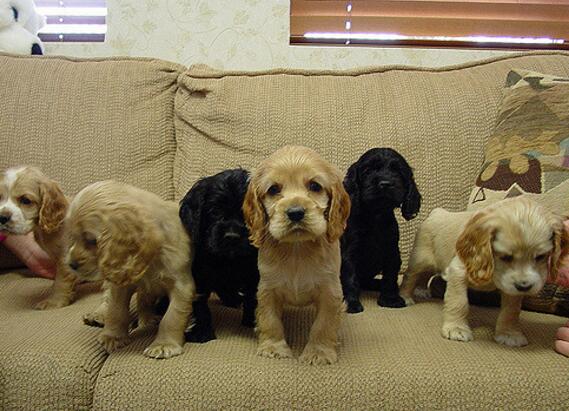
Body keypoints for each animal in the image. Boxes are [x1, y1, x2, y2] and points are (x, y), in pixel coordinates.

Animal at [65, 180, 195, 359]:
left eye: (91, 240)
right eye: (74, 237)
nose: (70, 264)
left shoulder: (181, 286)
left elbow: (172, 316)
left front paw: (164, 344)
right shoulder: (120, 281)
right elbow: (116, 310)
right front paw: (113, 337)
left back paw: (148, 319)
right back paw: (98, 315)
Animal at [179, 168, 259, 343]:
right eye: (215, 212)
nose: (232, 236)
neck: (227, 260)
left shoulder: (254, 273)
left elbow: (252, 296)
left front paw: (252, 321)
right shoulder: (199, 276)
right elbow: (201, 307)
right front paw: (203, 333)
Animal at [243, 145, 351, 365]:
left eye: (315, 186)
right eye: (273, 189)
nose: (295, 212)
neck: (297, 250)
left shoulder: (330, 291)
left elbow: (323, 324)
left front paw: (318, 352)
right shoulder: (267, 289)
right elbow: (270, 320)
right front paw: (274, 348)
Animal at [340, 148, 421, 313]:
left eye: (398, 171)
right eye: (368, 170)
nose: (385, 184)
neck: (375, 216)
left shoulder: (392, 251)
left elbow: (390, 276)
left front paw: (390, 299)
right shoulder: (350, 252)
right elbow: (350, 277)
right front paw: (351, 303)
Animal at [401, 197, 568, 346]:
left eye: (541, 256)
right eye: (505, 257)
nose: (524, 286)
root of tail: (438, 212)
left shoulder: (511, 289)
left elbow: (511, 311)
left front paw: (509, 334)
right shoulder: (458, 271)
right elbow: (459, 302)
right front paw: (456, 328)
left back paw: (421, 289)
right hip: (420, 259)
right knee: (411, 276)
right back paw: (406, 297)